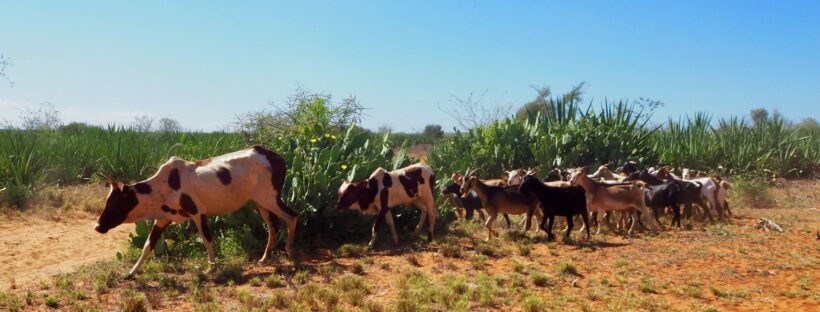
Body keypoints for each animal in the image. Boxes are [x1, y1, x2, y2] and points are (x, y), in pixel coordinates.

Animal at [95, 146, 300, 276]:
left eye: (114, 203)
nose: (98, 226)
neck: (163, 186)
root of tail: (277, 158)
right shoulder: (162, 219)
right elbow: (147, 246)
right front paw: (131, 273)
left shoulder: (198, 213)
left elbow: (207, 240)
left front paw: (212, 268)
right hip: (260, 202)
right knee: (273, 226)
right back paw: (265, 258)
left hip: (270, 198)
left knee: (292, 216)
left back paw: (291, 254)